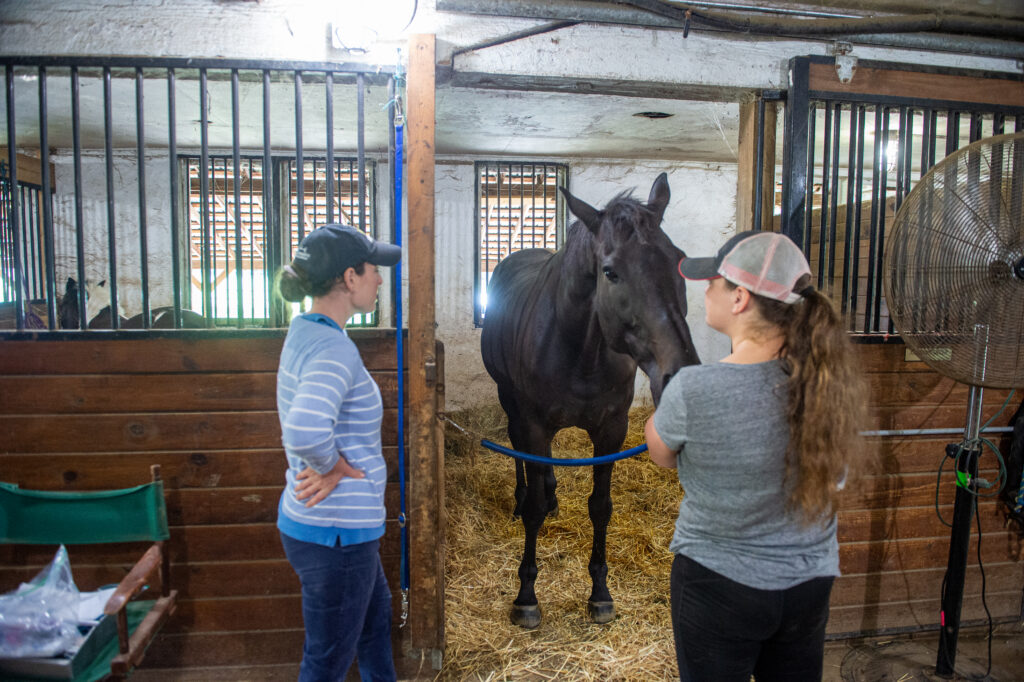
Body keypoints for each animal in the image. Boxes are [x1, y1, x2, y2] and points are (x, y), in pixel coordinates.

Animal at [480, 173, 701, 628]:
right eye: (610, 272)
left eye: (678, 260)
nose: (679, 373)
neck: (580, 349)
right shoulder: (534, 423)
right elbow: (533, 505)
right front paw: (526, 597)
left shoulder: (611, 430)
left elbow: (600, 506)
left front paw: (600, 592)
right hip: (511, 404)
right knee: (518, 453)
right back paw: (522, 497)